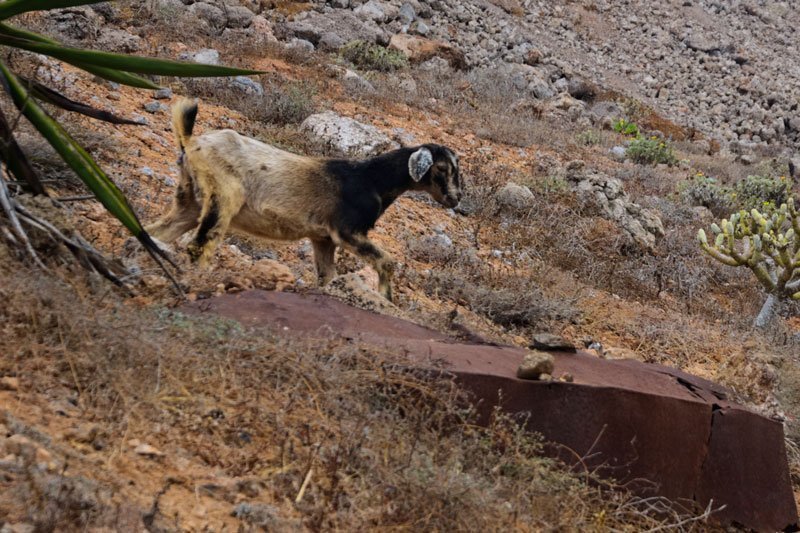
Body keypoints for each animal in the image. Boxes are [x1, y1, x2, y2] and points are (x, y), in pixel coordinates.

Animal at [147, 98, 466, 302]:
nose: (456, 198)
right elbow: (386, 262)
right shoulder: (347, 231)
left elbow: (327, 276)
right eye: (442, 169)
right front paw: (386, 300)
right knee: (200, 245)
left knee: (159, 232)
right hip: (223, 196)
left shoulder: (322, 239)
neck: (371, 179)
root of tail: (190, 142)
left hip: (190, 200)